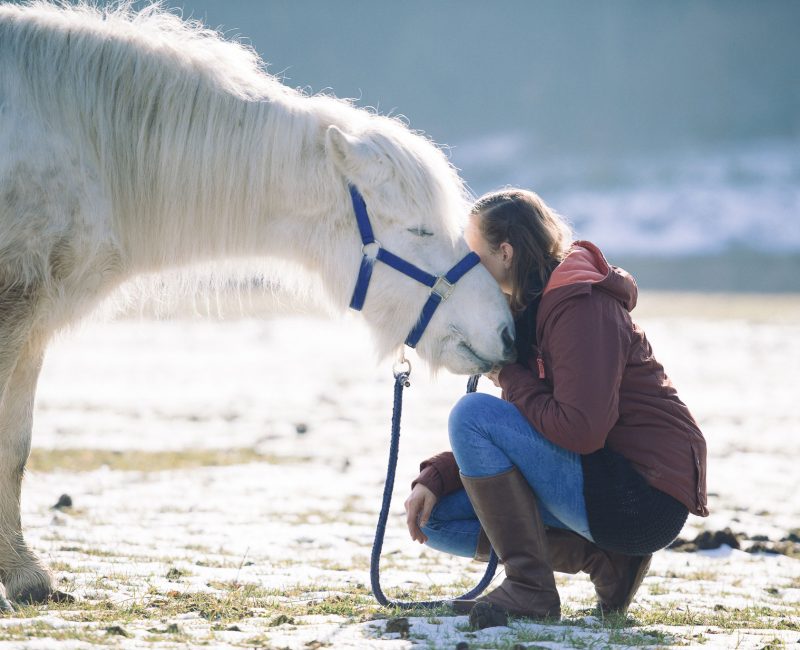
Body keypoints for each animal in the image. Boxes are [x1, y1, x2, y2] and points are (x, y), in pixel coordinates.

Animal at [0, 2, 512, 604]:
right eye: (419, 230)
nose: (506, 330)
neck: (84, 143)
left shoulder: (32, 321)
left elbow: (16, 443)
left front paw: (25, 576)